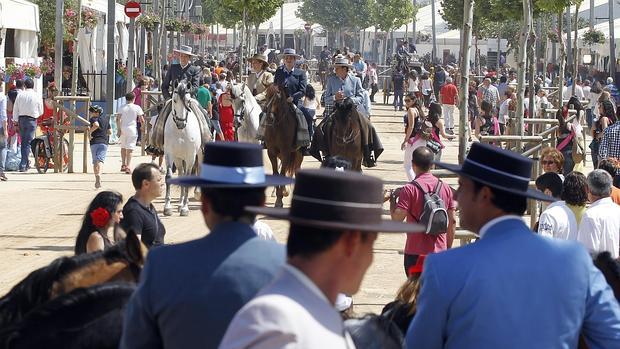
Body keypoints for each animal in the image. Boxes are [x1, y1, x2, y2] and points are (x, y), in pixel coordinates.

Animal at [163, 82, 202, 216]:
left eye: (188, 101)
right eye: (174, 100)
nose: (180, 123)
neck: (180, 131)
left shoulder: (190, 156)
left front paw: (185, 208)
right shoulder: (169, 154)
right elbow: (169, 177)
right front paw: (167, 207)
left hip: (199, 154)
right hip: (179, 158)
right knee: (181, 173)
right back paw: (180, 203)